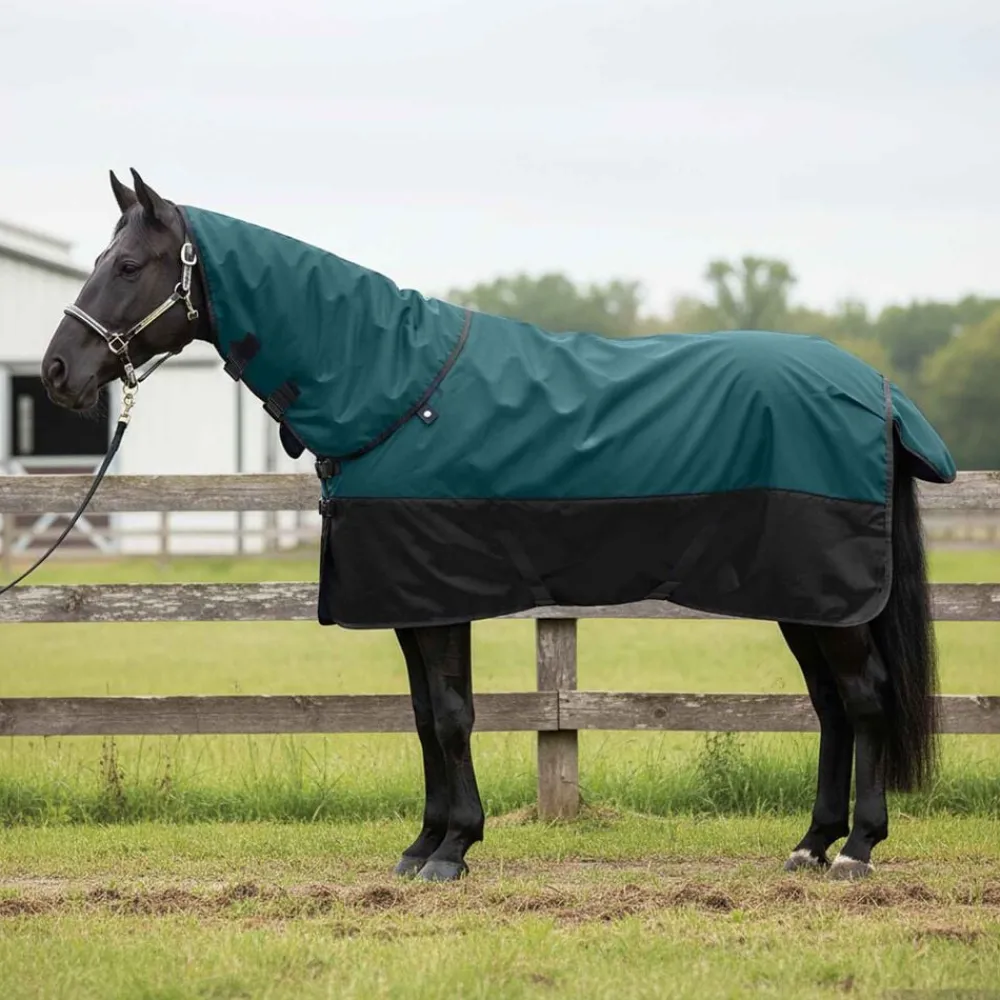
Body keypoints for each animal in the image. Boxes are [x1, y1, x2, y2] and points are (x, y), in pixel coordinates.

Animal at [39, 168, 956, 882]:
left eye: (127, 264)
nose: (55, 371)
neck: (393, 388)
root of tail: (875, 389)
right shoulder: (410, 601)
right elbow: (423, 716)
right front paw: (423, 846)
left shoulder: (439, 596)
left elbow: (450, 715)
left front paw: (453, 850)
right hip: (805, 599)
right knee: (832, 706)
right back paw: (810, 844)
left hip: (827, 597)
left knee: (864, 699)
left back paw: (857, 850)